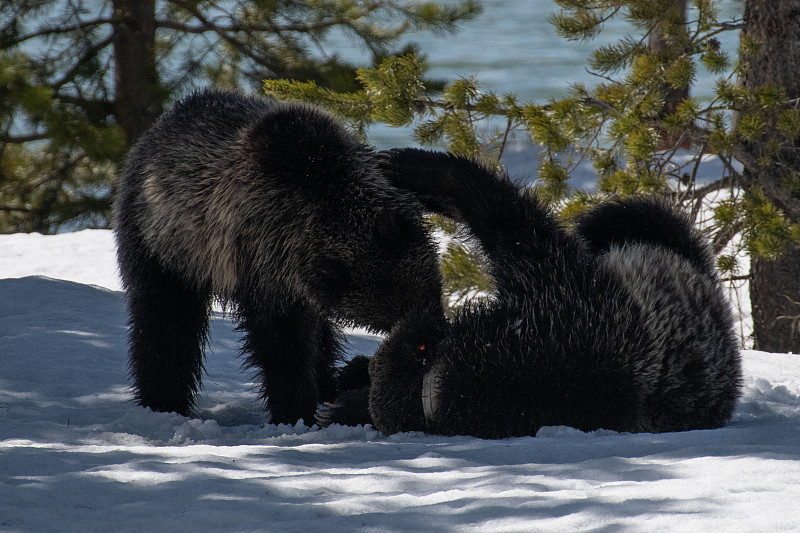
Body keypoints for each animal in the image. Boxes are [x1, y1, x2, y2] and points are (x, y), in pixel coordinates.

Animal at [316, 149, 740, 436]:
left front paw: (419, 169)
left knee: (634, 219)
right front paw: (345, 395)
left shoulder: (563, 298)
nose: (422, 317)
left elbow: (508, 220)